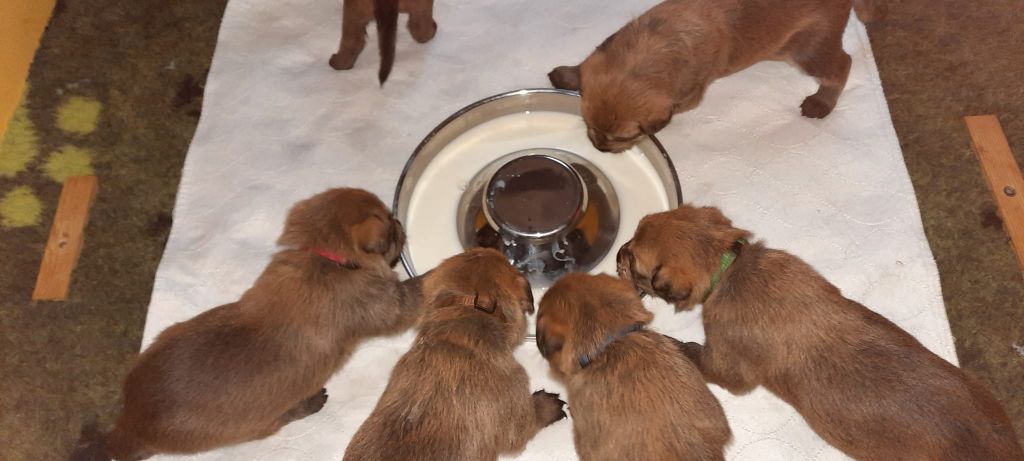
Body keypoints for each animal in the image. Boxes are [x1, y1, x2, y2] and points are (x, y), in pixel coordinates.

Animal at [104, 188, 423, 461]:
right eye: (390, 227)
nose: (398, 222)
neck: (325, 256)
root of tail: (130, 425)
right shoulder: (391, 306)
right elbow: (421, 285)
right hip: (255, 424)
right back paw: (311, 402)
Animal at [548, 0, 884, 152]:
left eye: (623, 138)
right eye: (587, 124)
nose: (599, 148)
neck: (657, 46)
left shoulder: (689, 95)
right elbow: (584, 67)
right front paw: (568, 75)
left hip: (809, 49)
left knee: (842, 65)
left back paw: (822, 102)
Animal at [614, 205, 1024, 461]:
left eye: (634, 260)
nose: (618, 252)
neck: (730, 267)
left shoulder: (729, 366)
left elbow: (695, 354)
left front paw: (674, 344)